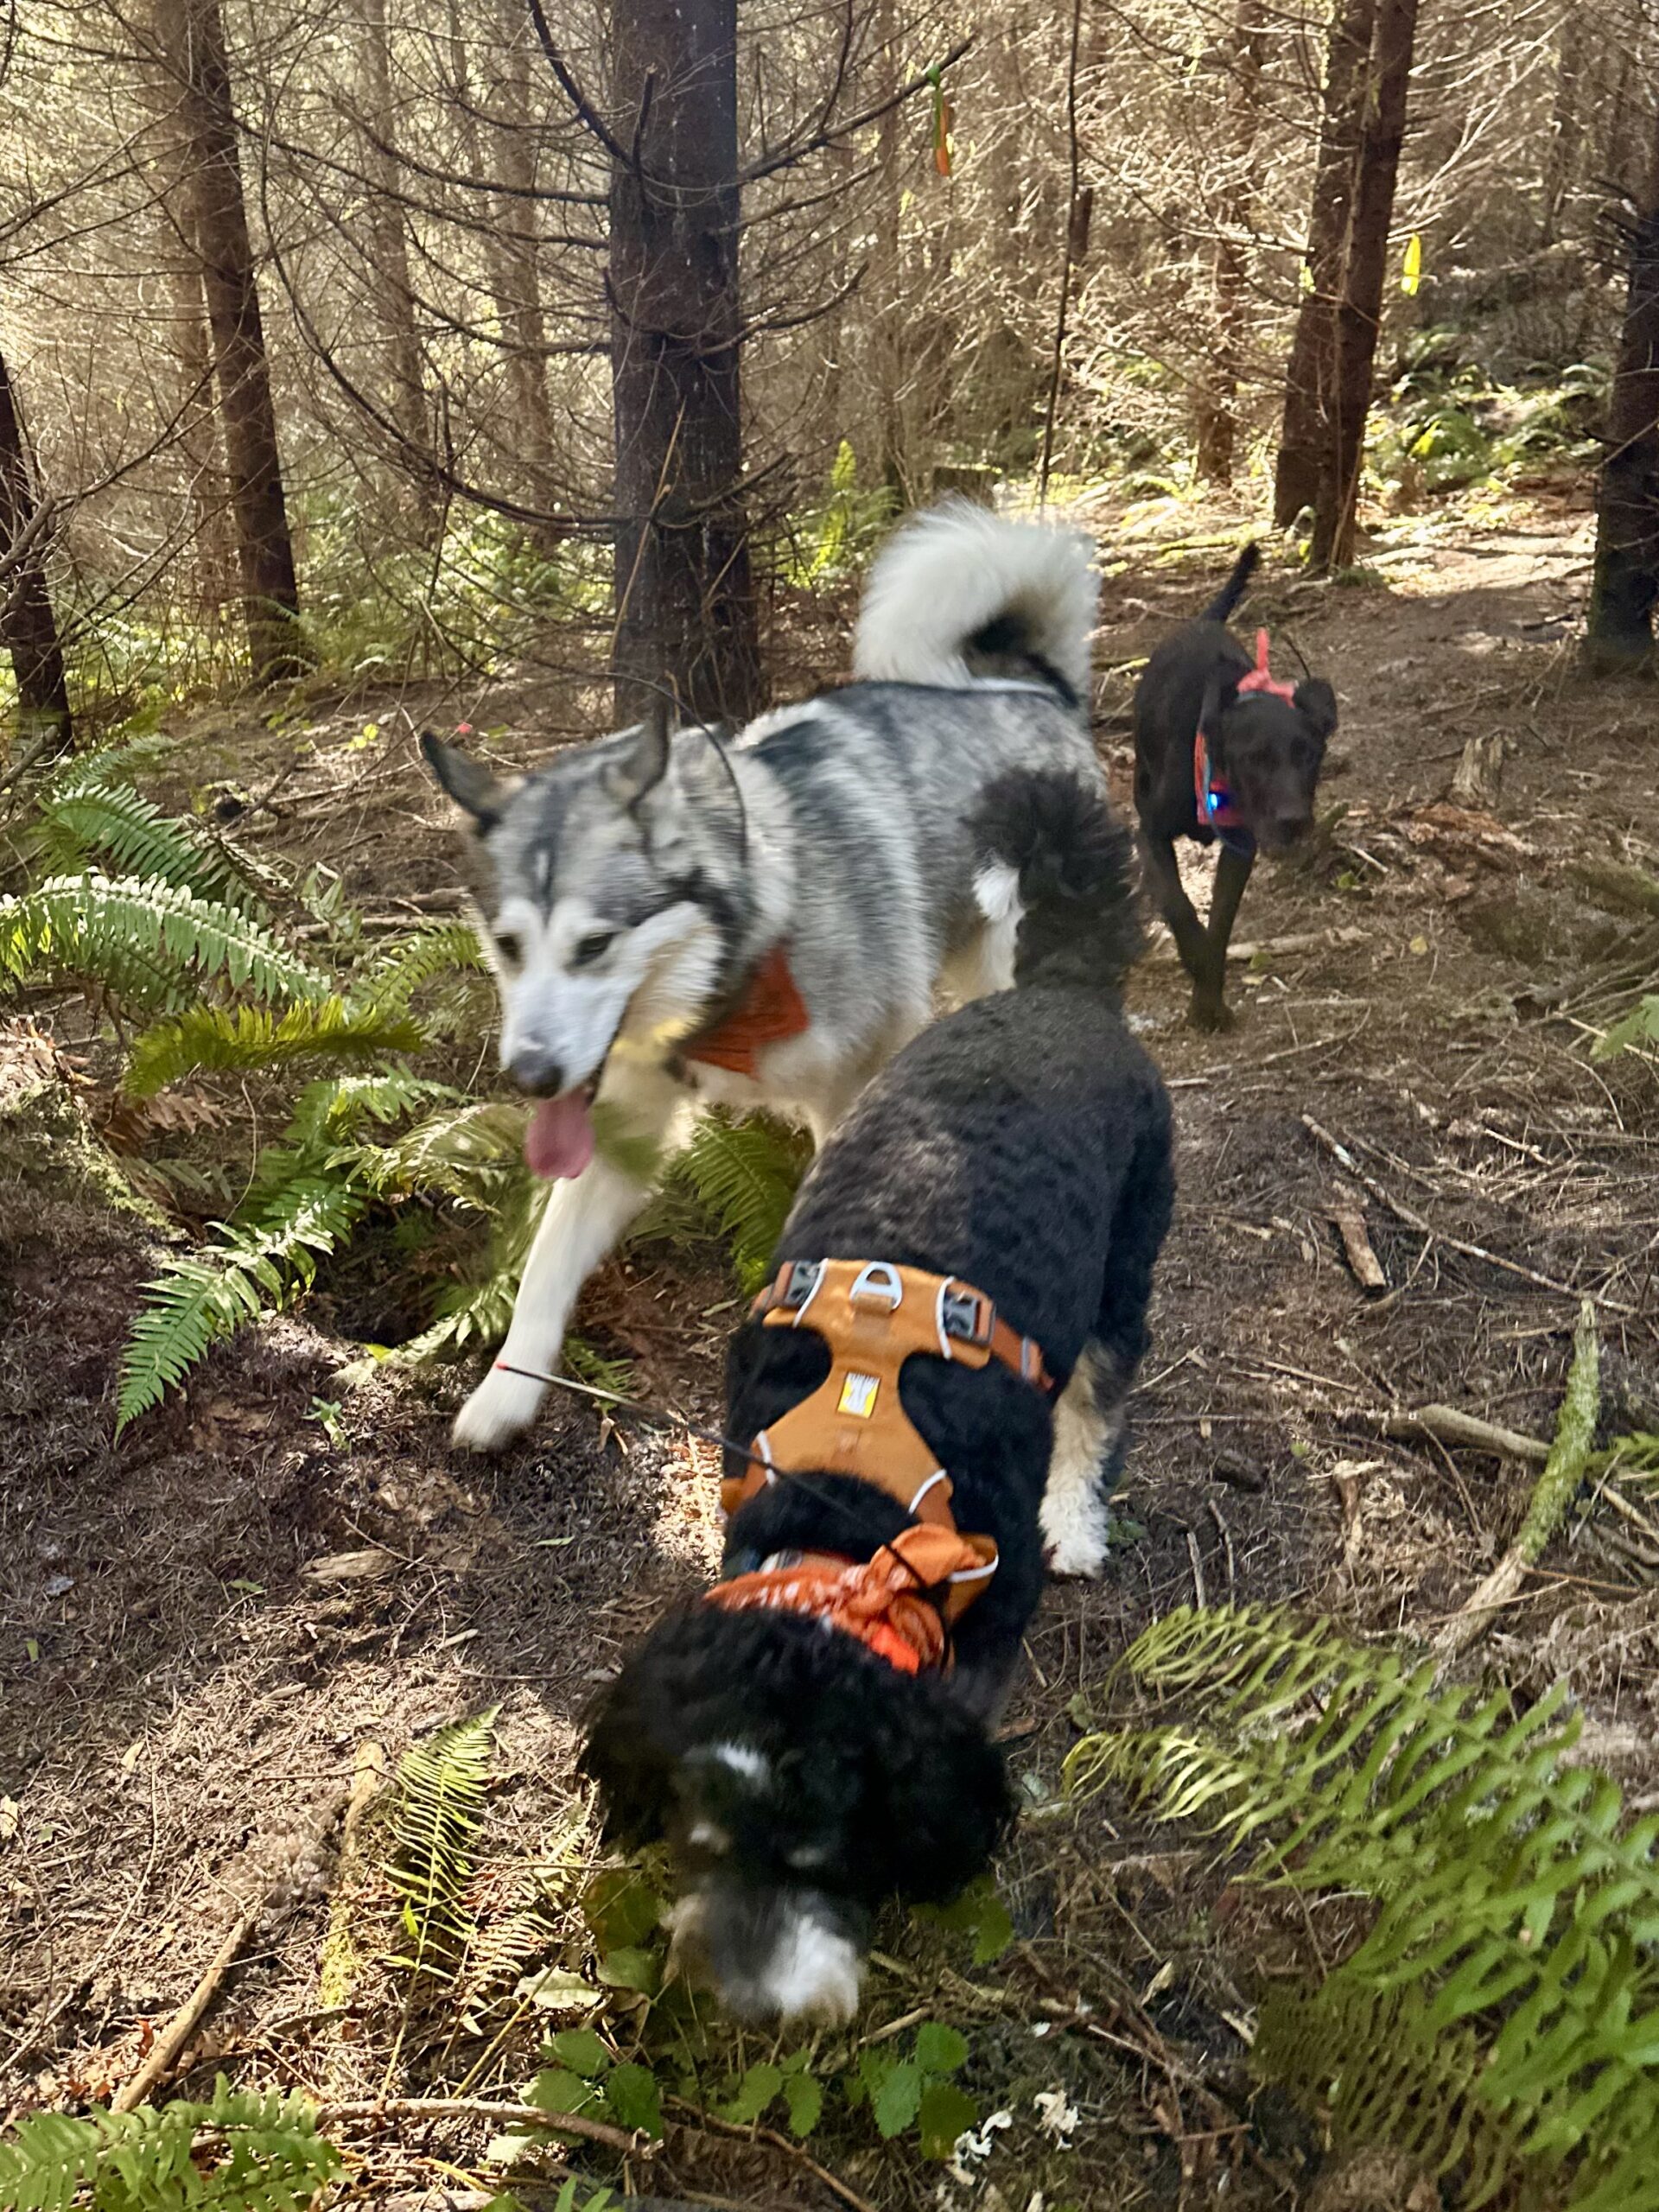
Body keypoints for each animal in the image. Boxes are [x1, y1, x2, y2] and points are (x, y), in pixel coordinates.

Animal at [424, 502, 1106, 1451]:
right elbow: (543, 1270)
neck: (736, 965)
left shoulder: (848, 1094)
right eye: (510, 945)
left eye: (595, 945)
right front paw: (506, 1391)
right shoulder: (624, 1127)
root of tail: (1035, 690)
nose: (532, 1076)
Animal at [579, 769, 1176, 2025]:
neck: (847, 1509)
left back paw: (1080, 1518)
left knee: (1098, 1404)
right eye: (699, 1842)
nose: (749, 2006)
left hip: (1127, 1266)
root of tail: (1057, 988)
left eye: (835, 1857)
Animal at [1141, 539, 1344, 1030]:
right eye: (1254, 759)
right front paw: (1194, 960)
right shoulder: (1151, 832)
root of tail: (1203, 622)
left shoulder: (1241, 847)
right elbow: (1177, 903)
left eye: (1310, 755)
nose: (1294, 820)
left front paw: (1208, 1002)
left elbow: (1221, 922)